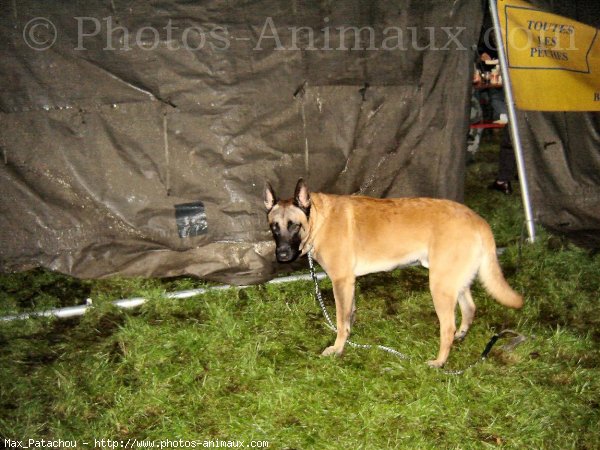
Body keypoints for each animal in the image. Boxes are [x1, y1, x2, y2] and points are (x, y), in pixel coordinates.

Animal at [264, 178, 524, 368]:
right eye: (274, 227)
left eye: (294, 225)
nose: (282, 255)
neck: (319, 219)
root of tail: (479, 220)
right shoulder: (349, 282)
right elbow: (349, 314)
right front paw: (349, 333)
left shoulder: (341, 280)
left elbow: (340, 319)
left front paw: (338, 347)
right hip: (453, 281)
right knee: (469, 308)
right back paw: (461, 335)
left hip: (440, 285)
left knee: (447, 327)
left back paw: (439, 362)